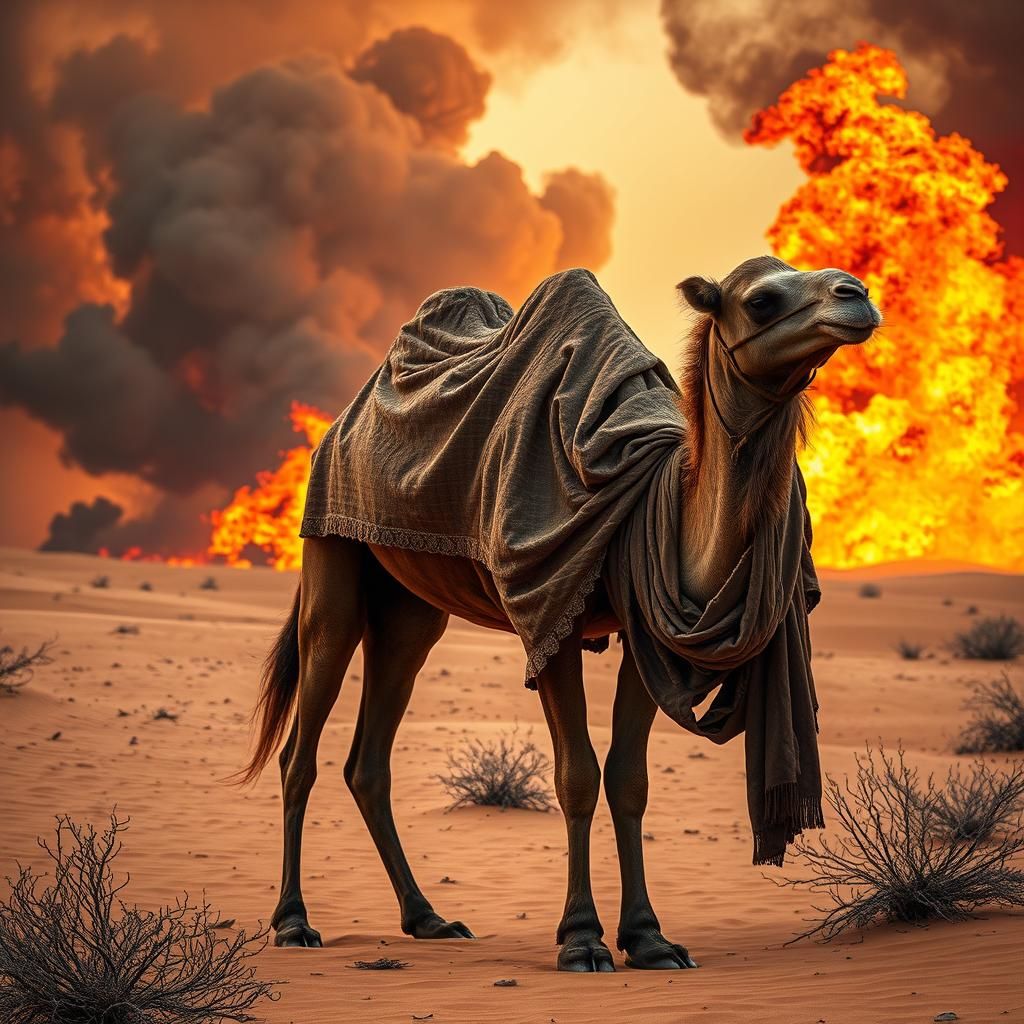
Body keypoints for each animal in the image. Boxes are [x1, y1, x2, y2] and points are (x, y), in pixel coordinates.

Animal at [240, 256, 880, 972]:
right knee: (302, 743)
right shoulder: (549, 607)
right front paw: (581, 938)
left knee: (369, 758)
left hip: (411, 609)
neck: (652, 502)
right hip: (331, 557)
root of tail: (340, 424)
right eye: (762, 299)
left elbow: (629, 778)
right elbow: (576, 774)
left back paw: (428, 918)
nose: (856, 295)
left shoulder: (648, 636)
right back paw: (294, 922)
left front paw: (650, 938)